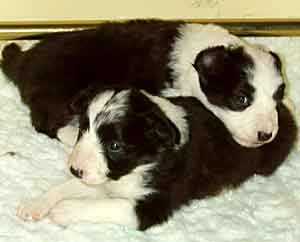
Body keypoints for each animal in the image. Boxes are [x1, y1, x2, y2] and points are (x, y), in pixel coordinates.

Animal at [0, 19, 286, 147]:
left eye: (277, 99)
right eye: (241, 99)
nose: (267, 135)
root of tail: (23, 60)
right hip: (57, 93)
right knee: (44, 123)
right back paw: (72, 136)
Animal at [17, 88, 298, 231]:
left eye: (115, 146)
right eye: (83, 130)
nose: (75, 169)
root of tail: (282, 109)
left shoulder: (152, 205)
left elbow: (107, 205)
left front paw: (65, 210)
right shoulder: (106, 177)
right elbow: (65, 187)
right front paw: (35, 204)